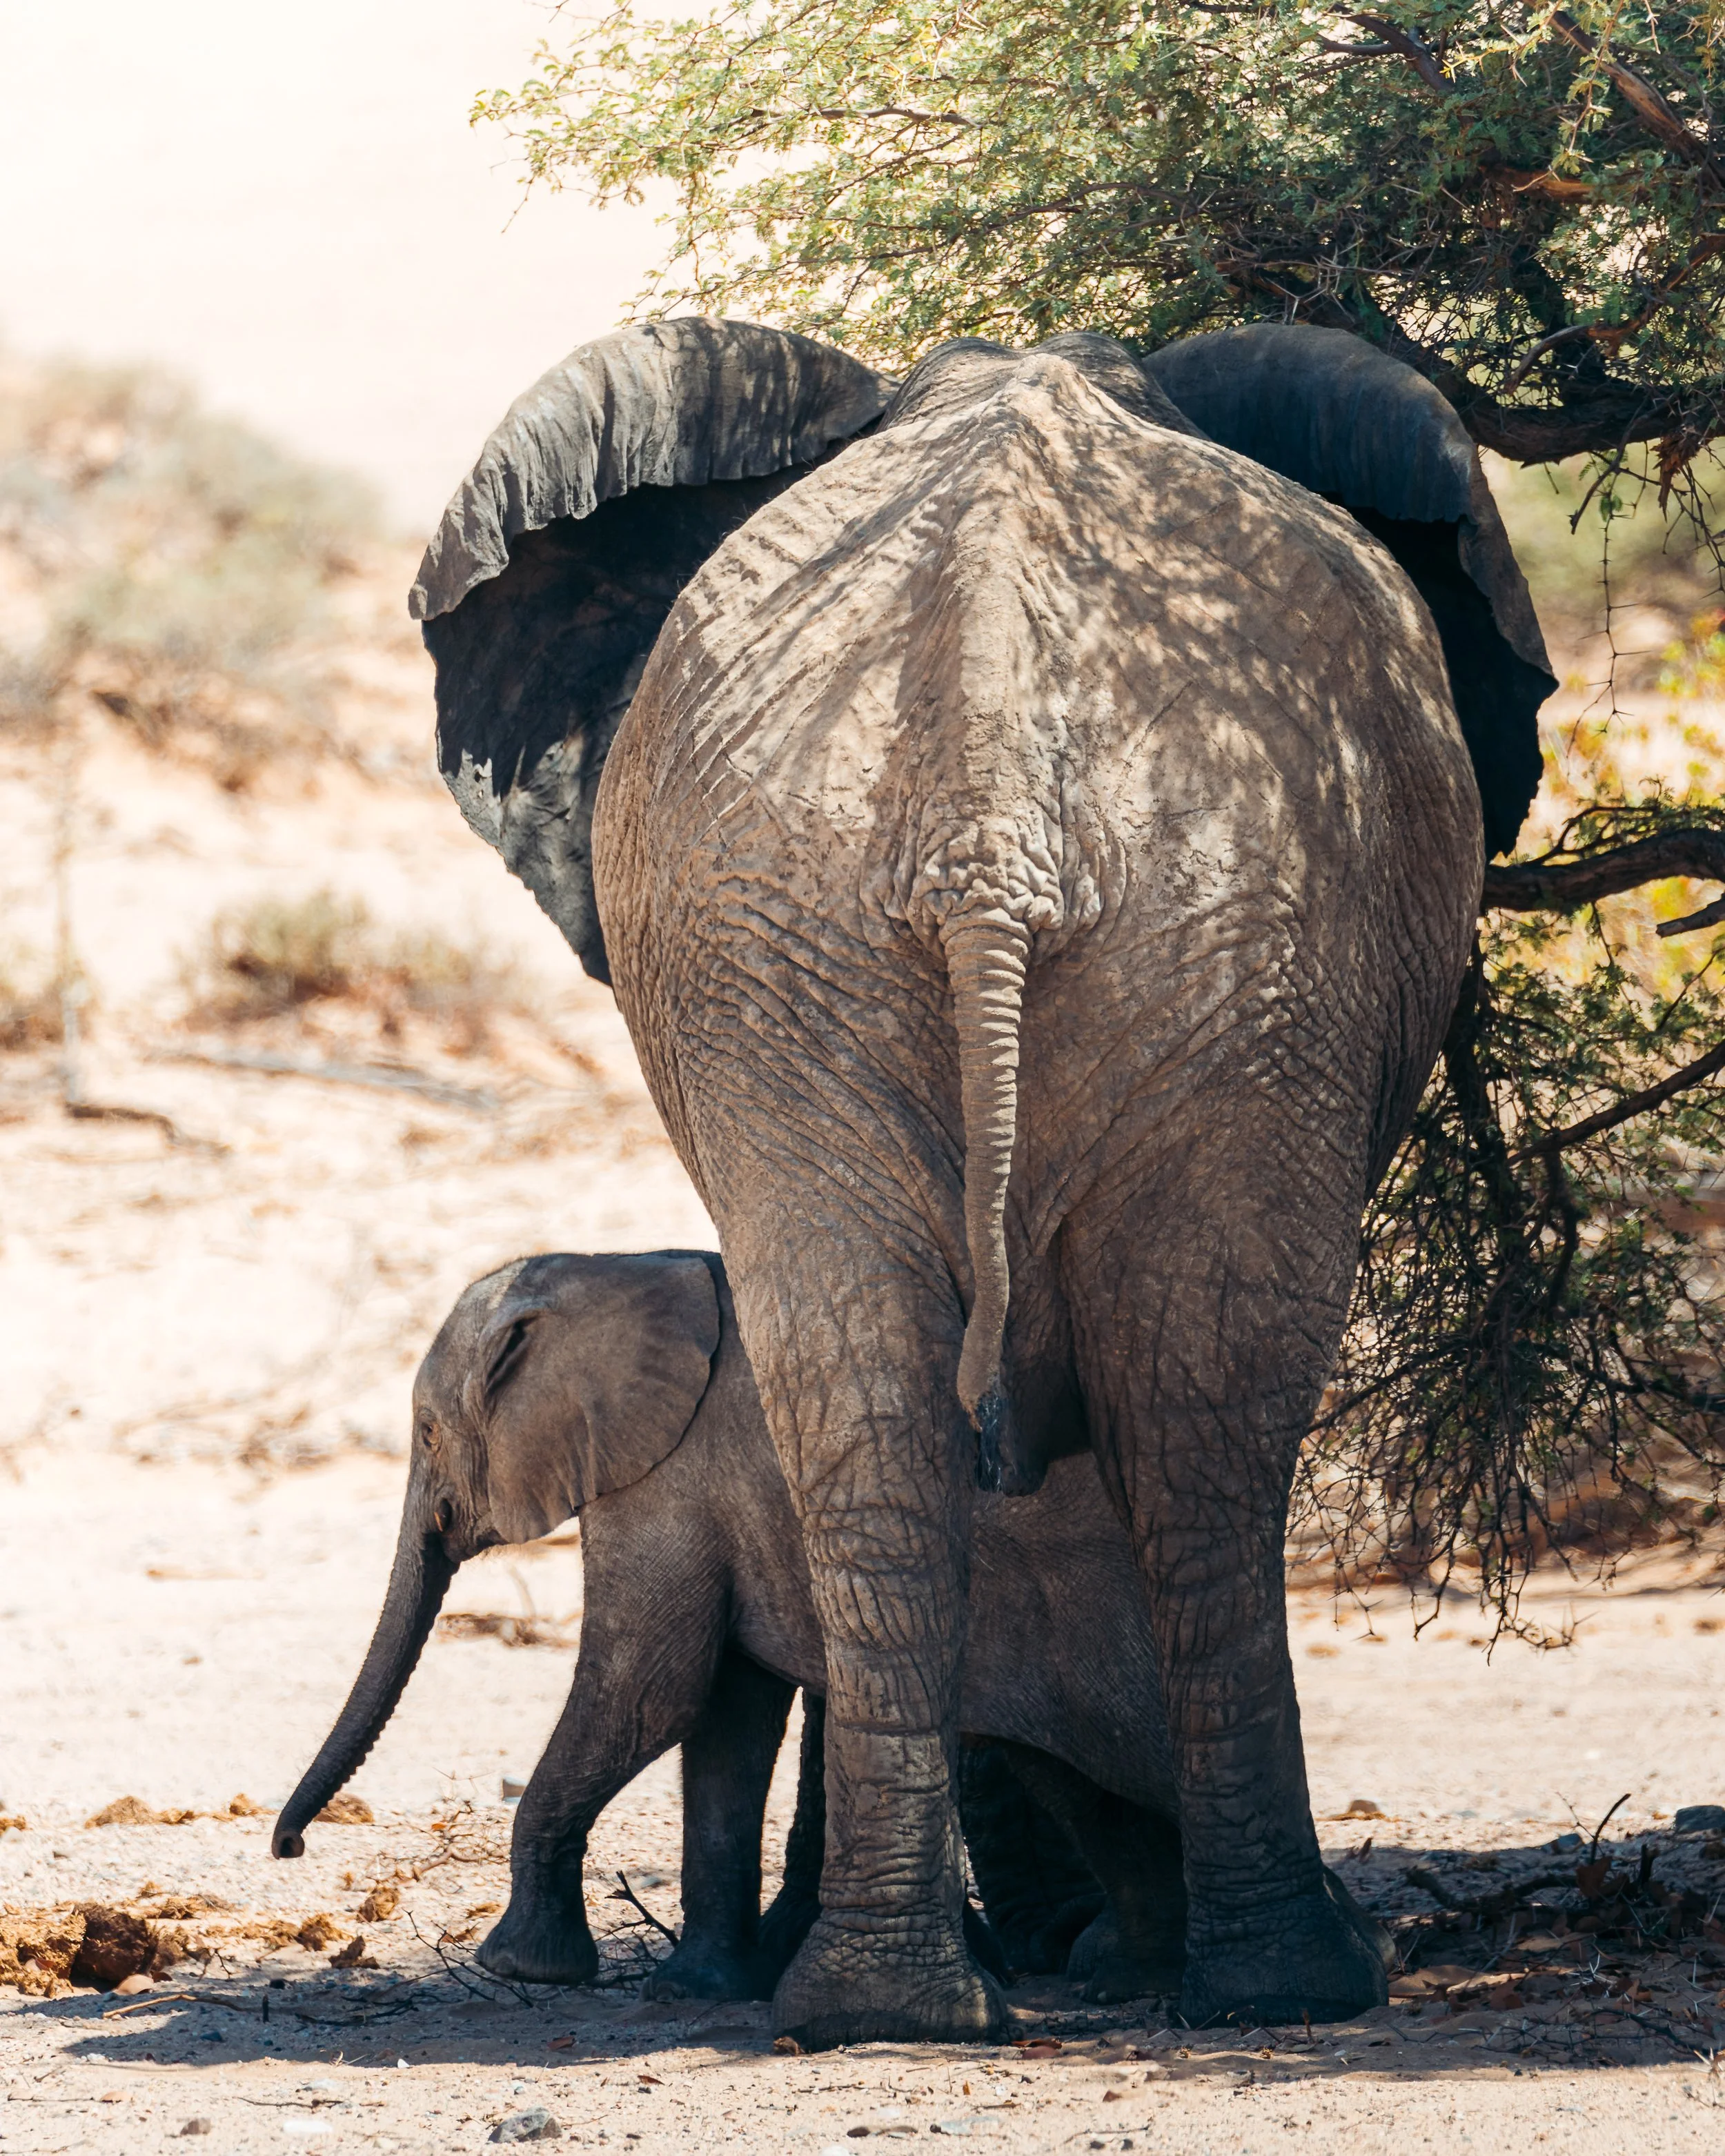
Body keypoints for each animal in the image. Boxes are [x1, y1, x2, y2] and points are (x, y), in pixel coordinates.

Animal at [413, 318, 1553, 2042]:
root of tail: (986, 790)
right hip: (1115, 944)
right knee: (1191, 1421)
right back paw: (1258, 1980)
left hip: (980, 940)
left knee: (900, 1400)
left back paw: (925, 1996)